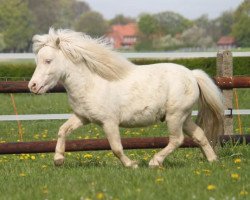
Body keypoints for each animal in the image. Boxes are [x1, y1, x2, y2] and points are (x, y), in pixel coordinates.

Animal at [28, 28, 224, 168]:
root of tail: (192, 74)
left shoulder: (109, 122)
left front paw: (132, 165)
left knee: (177, 140)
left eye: (48, 61)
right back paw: (213, 160)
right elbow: (62, 130)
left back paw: (154, 162)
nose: (33, 86)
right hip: (184, 117)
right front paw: (58, 159)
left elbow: (116, 147)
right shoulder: (82, 117)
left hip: (175, 116)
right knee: (199, 135)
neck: (91, 83)